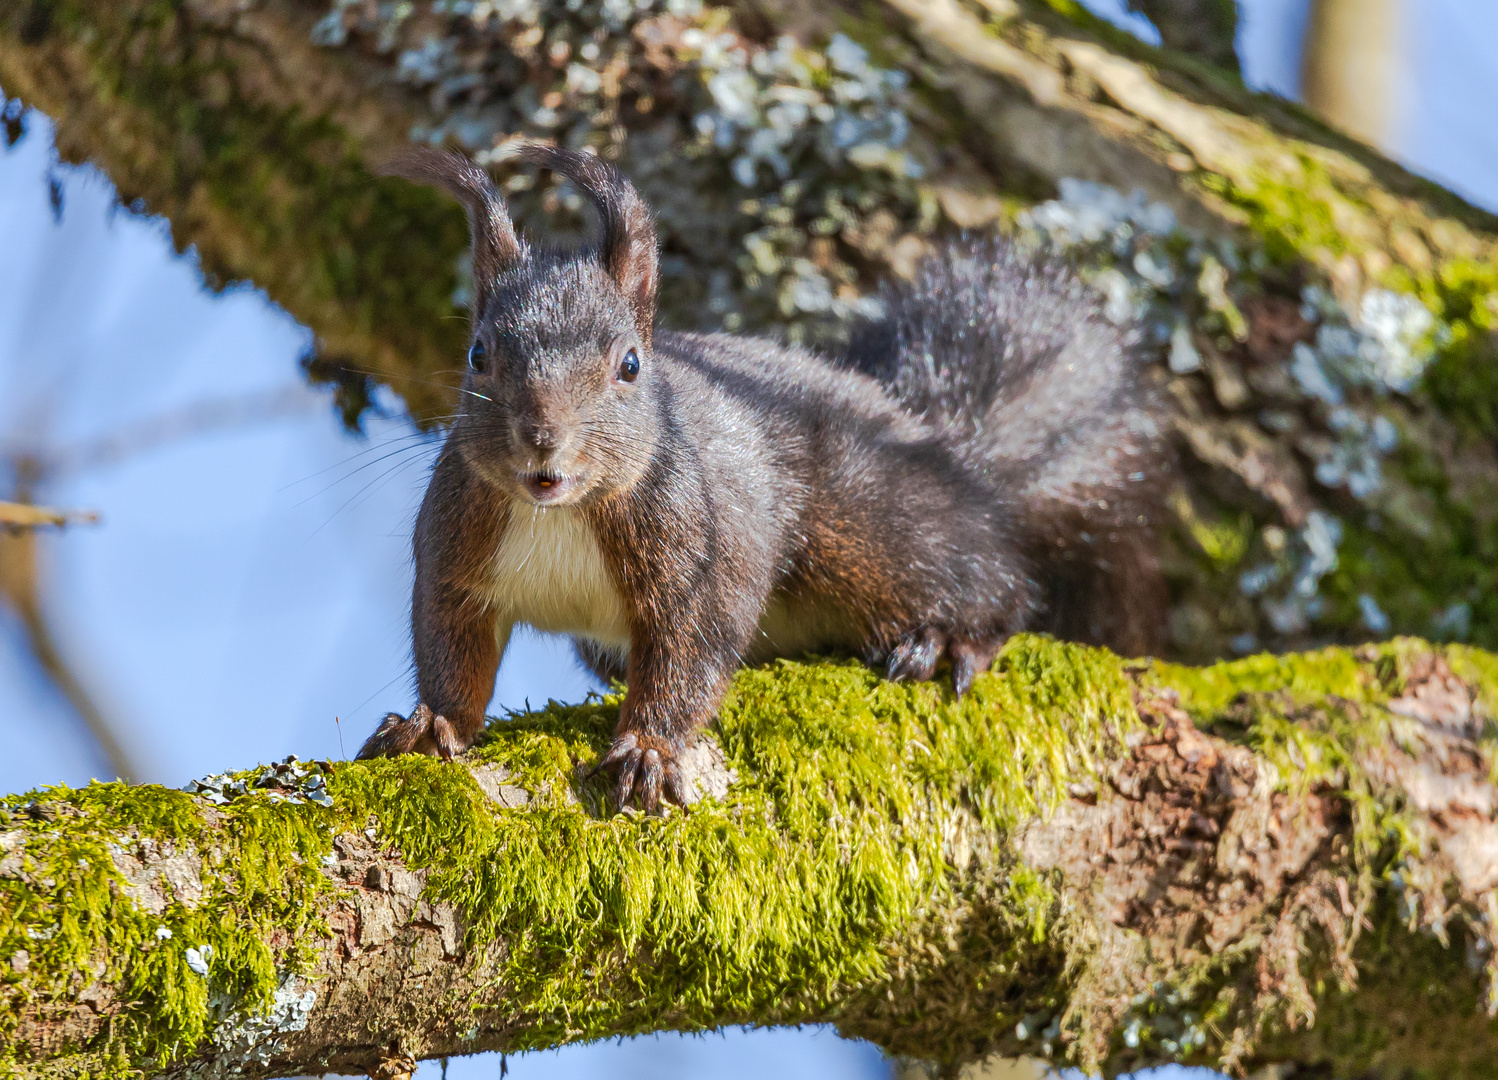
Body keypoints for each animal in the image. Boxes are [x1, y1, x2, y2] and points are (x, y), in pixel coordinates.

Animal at [353, 147, 1168, 814]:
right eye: (477, 355)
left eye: (629, 364)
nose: (543, 444)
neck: (562, 513)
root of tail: (942, 445)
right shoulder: (457, 553)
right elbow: (450, 643)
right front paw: (435, 723)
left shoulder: (704, 558)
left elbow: (691, 655)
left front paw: (648, 749)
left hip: (870, 531)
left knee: (994, 577)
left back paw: (948, 640)